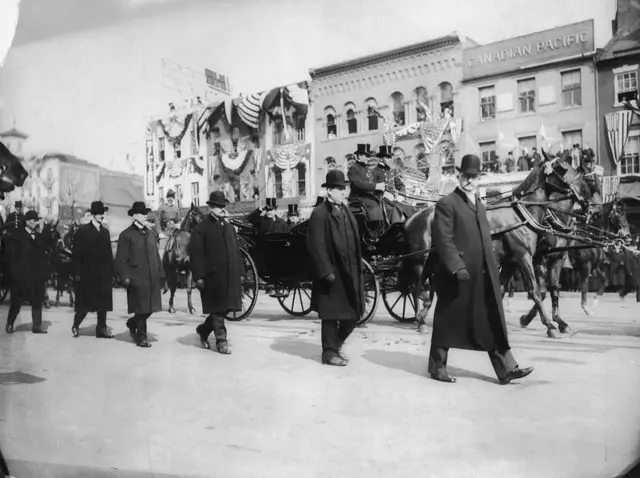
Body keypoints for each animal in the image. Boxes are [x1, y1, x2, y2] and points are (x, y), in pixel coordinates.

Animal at [402, 155, 592, 338]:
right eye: (563, 167)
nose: (586, 192)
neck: (522, 214)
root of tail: (413, 217)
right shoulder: (526, 257)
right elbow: (537, 291)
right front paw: (549, 325)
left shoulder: (518, 261)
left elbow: (514, 290)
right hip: (420, 260)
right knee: (415, 287)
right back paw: (420, 320)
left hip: (434, 260)